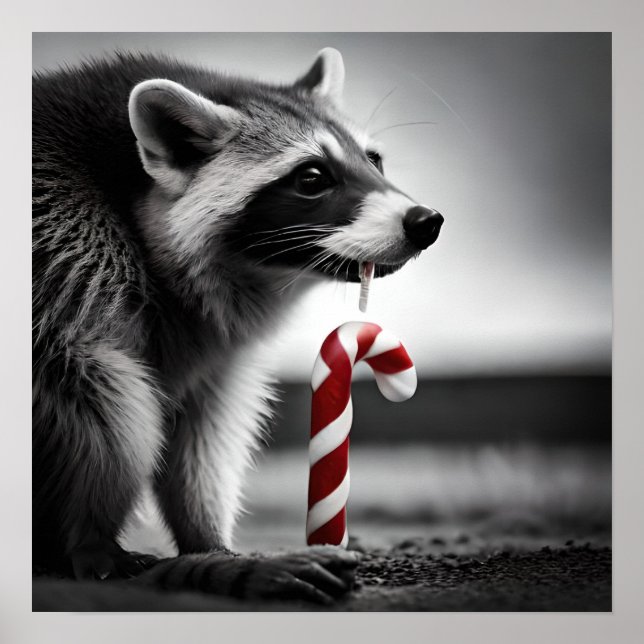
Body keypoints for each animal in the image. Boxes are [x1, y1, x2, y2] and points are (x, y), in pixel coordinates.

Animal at [32, 47, 443, 602]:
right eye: (311, 178)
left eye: (373, 160)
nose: (426, 221)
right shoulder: (71, 263)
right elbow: (98, 404)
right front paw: (92, 531)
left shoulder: (212, 344)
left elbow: (205, 423)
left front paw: (205, 535)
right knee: (112, 398)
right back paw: (89, 542)